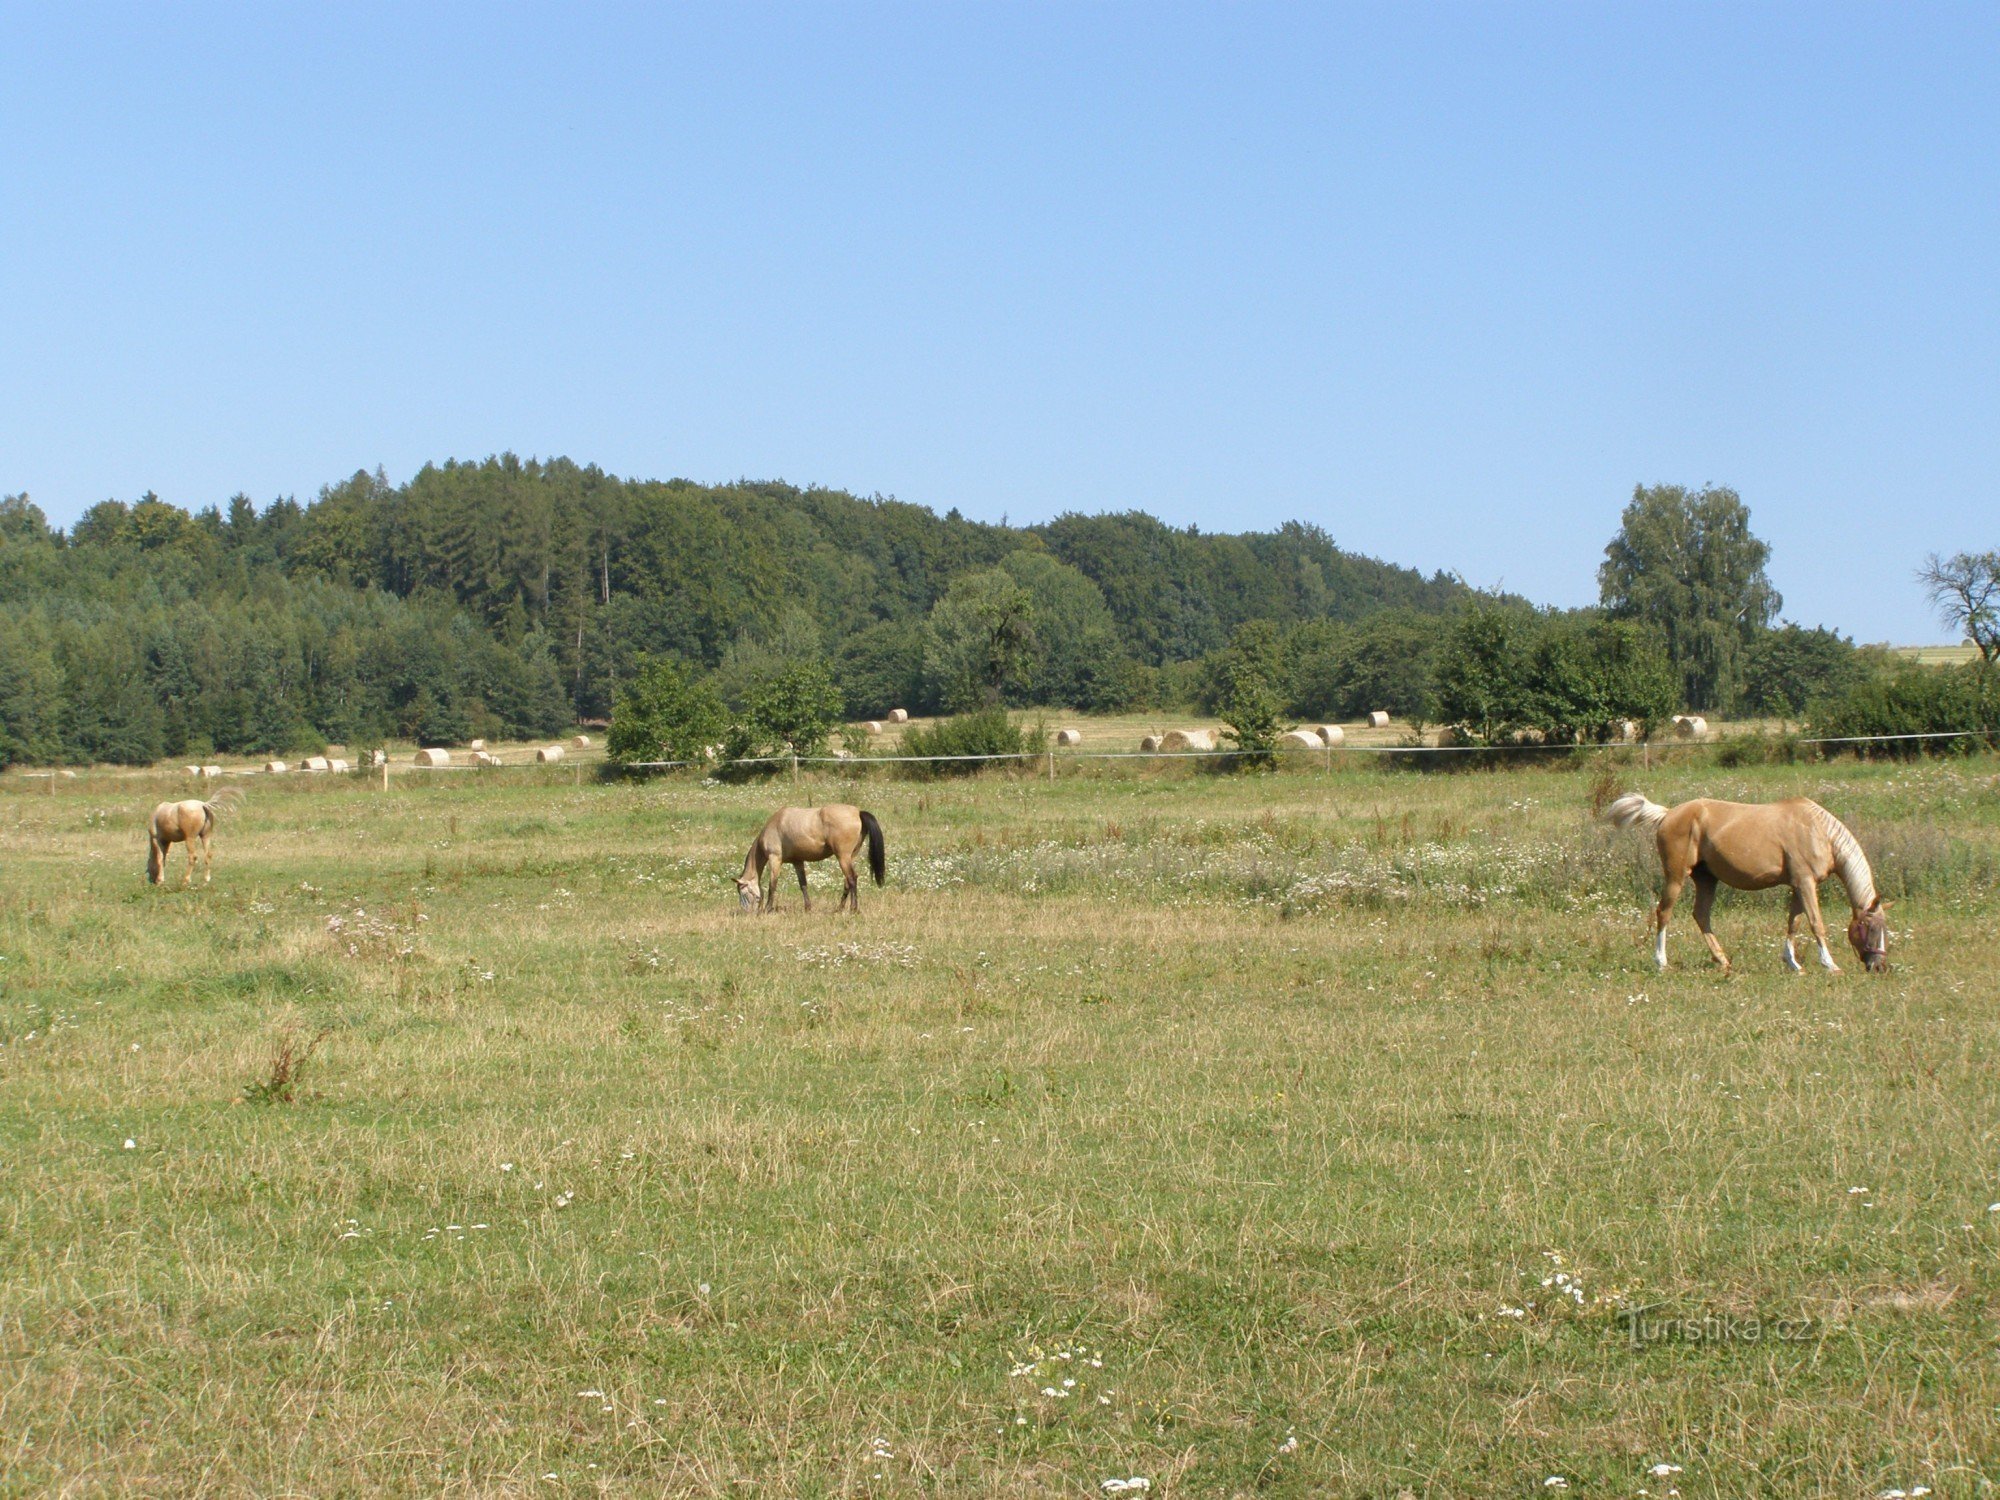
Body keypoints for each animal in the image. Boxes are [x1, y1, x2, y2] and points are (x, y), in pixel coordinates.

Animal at [736, 812, 884, 916]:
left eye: (743, 893)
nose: (747, 913)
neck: (775, 824)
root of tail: (858, 812)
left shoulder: (775, 859)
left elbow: (772, 885)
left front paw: (768, 908)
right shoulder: (797, 861)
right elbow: (803, 885)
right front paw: (808, 908)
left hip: (843, 857)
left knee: (852, 879)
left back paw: (853, 908)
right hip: (850, 857)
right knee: (847, 881)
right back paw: (839, 908)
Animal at [1608, 792, 1888, 980]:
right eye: (1871, 928)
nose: (1880, 967)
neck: (1817, 831)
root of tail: (1668, 814)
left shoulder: (1798, 885)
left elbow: (1794, 924)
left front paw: (1792, 963)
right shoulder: (1805, 883)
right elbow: (1816, 924)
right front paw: (1830, 965)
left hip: (1706, 879)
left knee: (1701, 915)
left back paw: (1722, 960)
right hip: (1676, 877)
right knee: (1664, 913)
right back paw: (1661, 962)